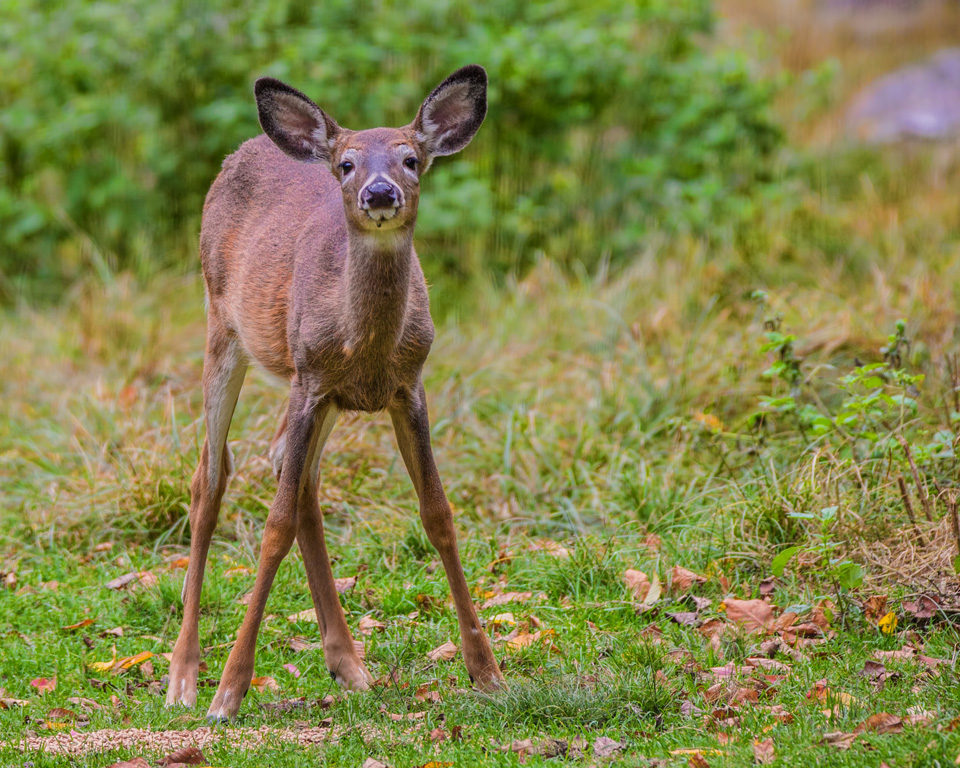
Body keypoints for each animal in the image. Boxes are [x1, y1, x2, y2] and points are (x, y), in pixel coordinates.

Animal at [166, 66, 506, 720]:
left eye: (411, 159)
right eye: (347, 164)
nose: (379, 194)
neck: (364, 348)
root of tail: (247, 146)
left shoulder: (407, 386)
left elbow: (438, 513)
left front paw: (488, 672)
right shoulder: (310, 383)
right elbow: (272, 528)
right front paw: (229, 690)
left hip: (310, 388)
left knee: (291, 472)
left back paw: (347, 662)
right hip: (223, 327)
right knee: (209, 477)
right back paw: (184, 678)